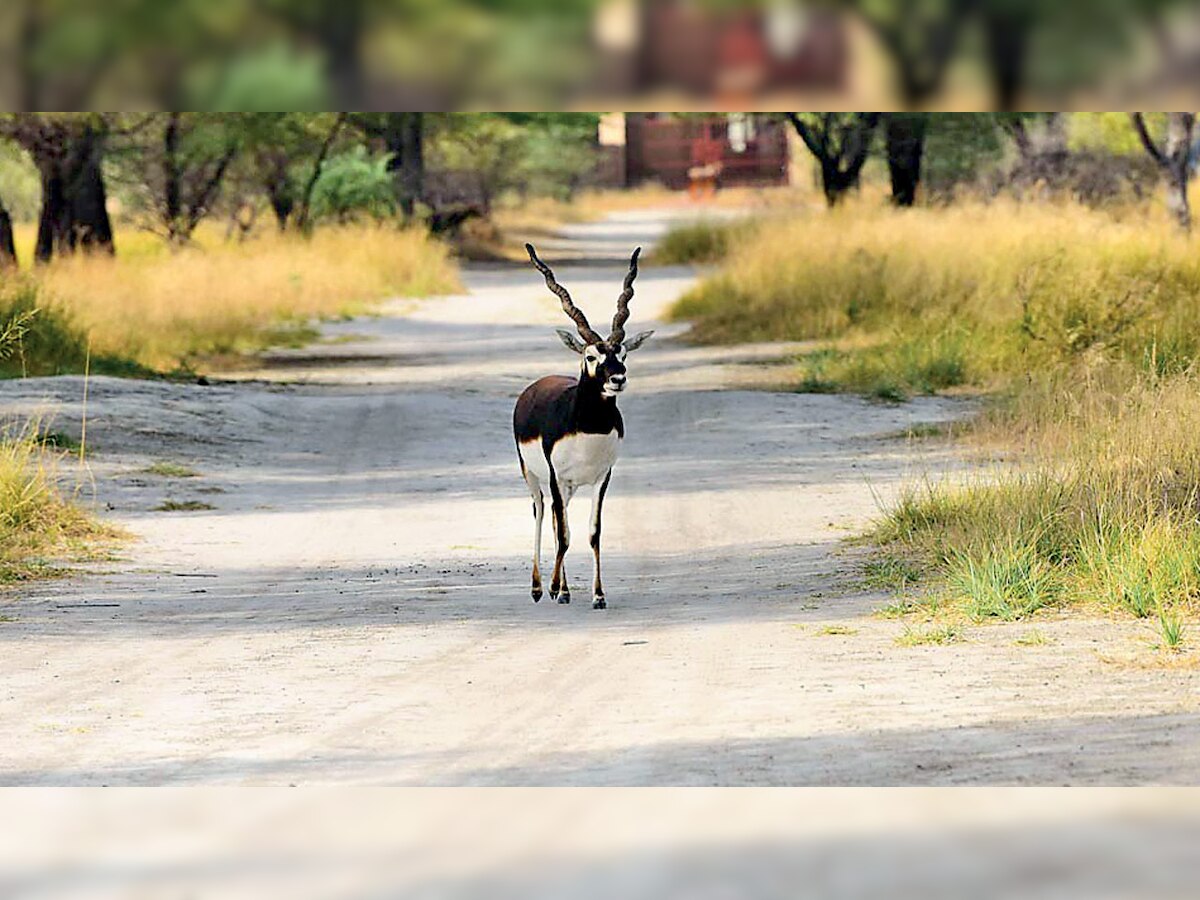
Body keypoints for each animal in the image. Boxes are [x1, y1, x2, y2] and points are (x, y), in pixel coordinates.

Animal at [511, 243, 652, 609]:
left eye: (623, 354)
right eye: (591, 356)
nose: (618, 379)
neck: (590, 429)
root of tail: (536, 385)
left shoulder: (602, 477)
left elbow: (591, 532)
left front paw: (598, 595)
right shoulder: (556, 476)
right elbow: (564, 534)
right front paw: (554, 589)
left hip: (570, 486)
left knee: (557, 519)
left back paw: (560, 588)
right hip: (535, 476)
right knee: (541, 513)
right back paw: (539, 588)